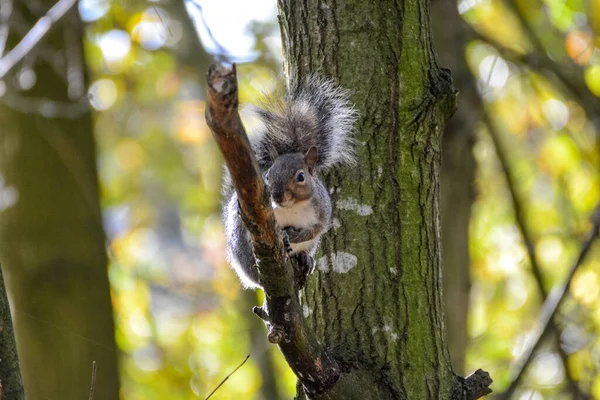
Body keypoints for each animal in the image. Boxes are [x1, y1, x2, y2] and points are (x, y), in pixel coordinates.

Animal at [224, 76, 358, 290]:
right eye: (267, 176)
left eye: (301, 177)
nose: (277, 195)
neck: (293, 207)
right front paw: (286, 236)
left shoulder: (321, 211)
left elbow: (314, 230)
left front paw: (295, 236)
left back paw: (305, 259)